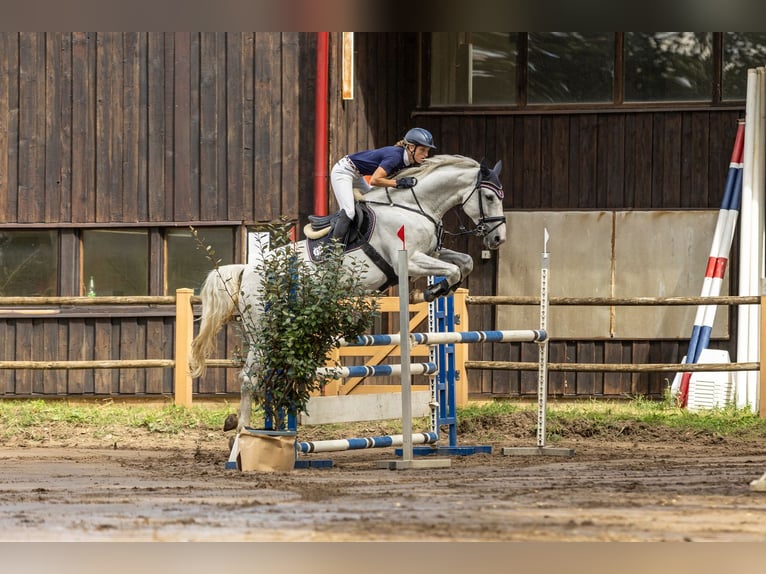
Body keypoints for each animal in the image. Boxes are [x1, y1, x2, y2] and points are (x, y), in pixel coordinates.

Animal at [189, 154, 507, 431]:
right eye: (490, 197)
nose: (498, 239)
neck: (415, 206)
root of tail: (247, 270)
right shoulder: (409, 260)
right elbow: (451, 270)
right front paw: (430, 292)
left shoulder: (432, 253)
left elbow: (463, 263)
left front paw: (440, 289)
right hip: (263, 330)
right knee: (249, 377)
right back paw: (243, 432)